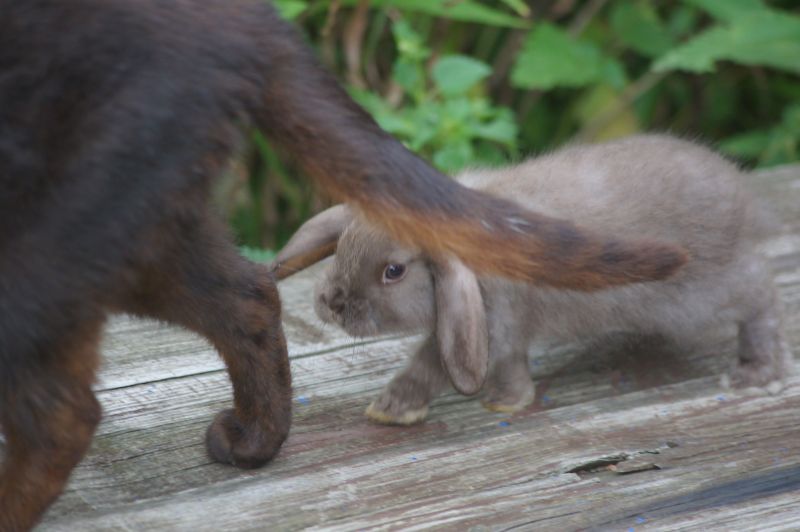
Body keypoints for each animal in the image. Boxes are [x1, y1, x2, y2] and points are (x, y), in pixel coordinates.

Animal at [0, 2, 688, 528]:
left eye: (393, 273)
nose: (332, 301)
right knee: (247, 295)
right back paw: (254, 439)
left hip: (64, 229)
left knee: (67, 412)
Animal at [276, 136, 792, 424]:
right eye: (344, 242)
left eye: (393, 271)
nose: (329, 301)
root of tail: (742, 195)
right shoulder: (500, 329)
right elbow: (510, 365)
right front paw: (507, 401)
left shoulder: (487, 320)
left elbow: (429, 365)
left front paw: (390, 410)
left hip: (702, 294)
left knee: (761, 291)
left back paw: (755, 372)